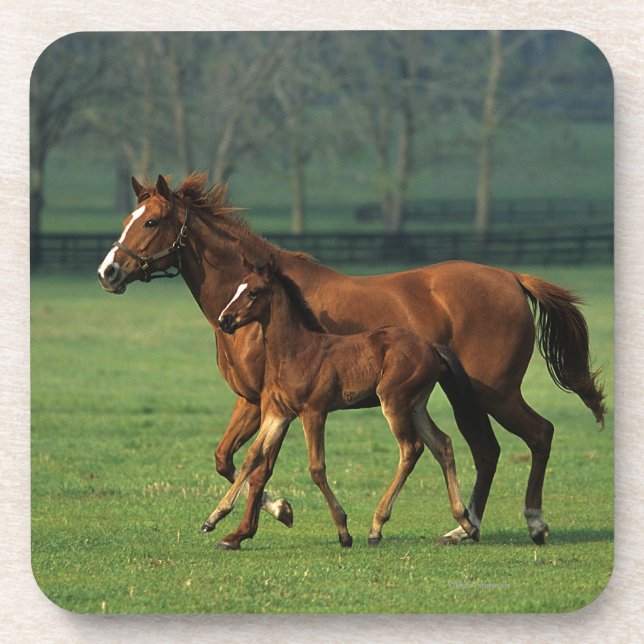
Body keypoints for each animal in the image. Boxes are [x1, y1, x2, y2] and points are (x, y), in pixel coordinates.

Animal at [200, 254, 480, 549]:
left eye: (253, 292)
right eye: (237, 288)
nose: (224, 320)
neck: (295, 351)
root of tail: (432, 347)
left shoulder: (313, 412)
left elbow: (316, 468)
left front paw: (343, 531)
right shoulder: (279, 413)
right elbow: (252, 457)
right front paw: (213, 519)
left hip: (394, 402)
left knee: (411, 449)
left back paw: (376, 527)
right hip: (416, 406)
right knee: (442, 444)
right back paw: (465, 522)